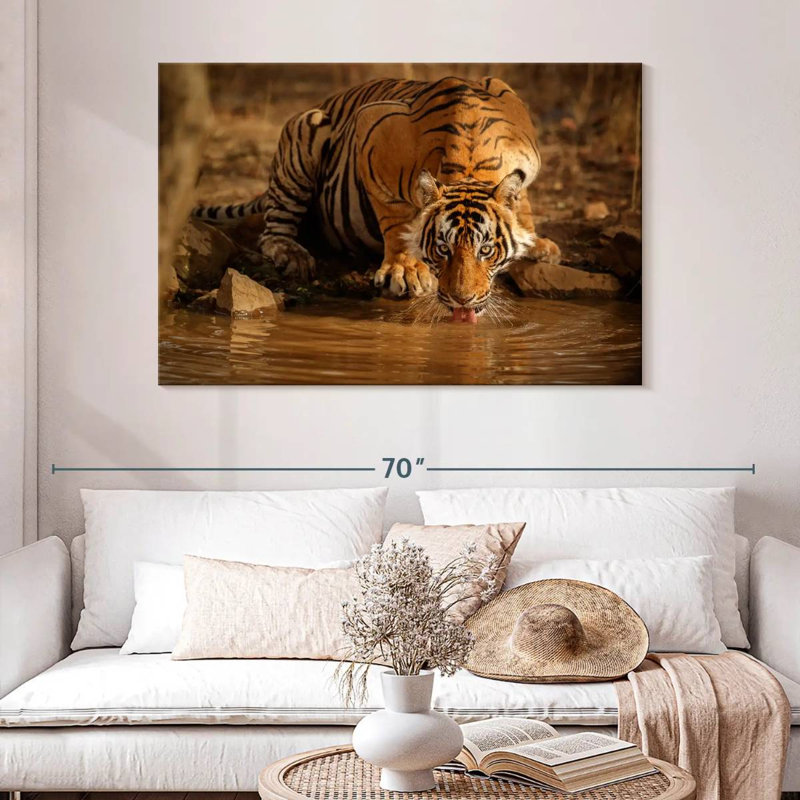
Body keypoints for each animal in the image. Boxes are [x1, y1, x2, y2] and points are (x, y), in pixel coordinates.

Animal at [192, 76, 560, 322]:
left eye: (486, 251)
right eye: (443, 249)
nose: (462, 302)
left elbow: (522, 202)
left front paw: (535, 242)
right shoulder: (371, 136)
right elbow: (395, 220)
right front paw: (404, 271)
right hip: (305, 130)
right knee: (273, 232)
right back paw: (293, 255)